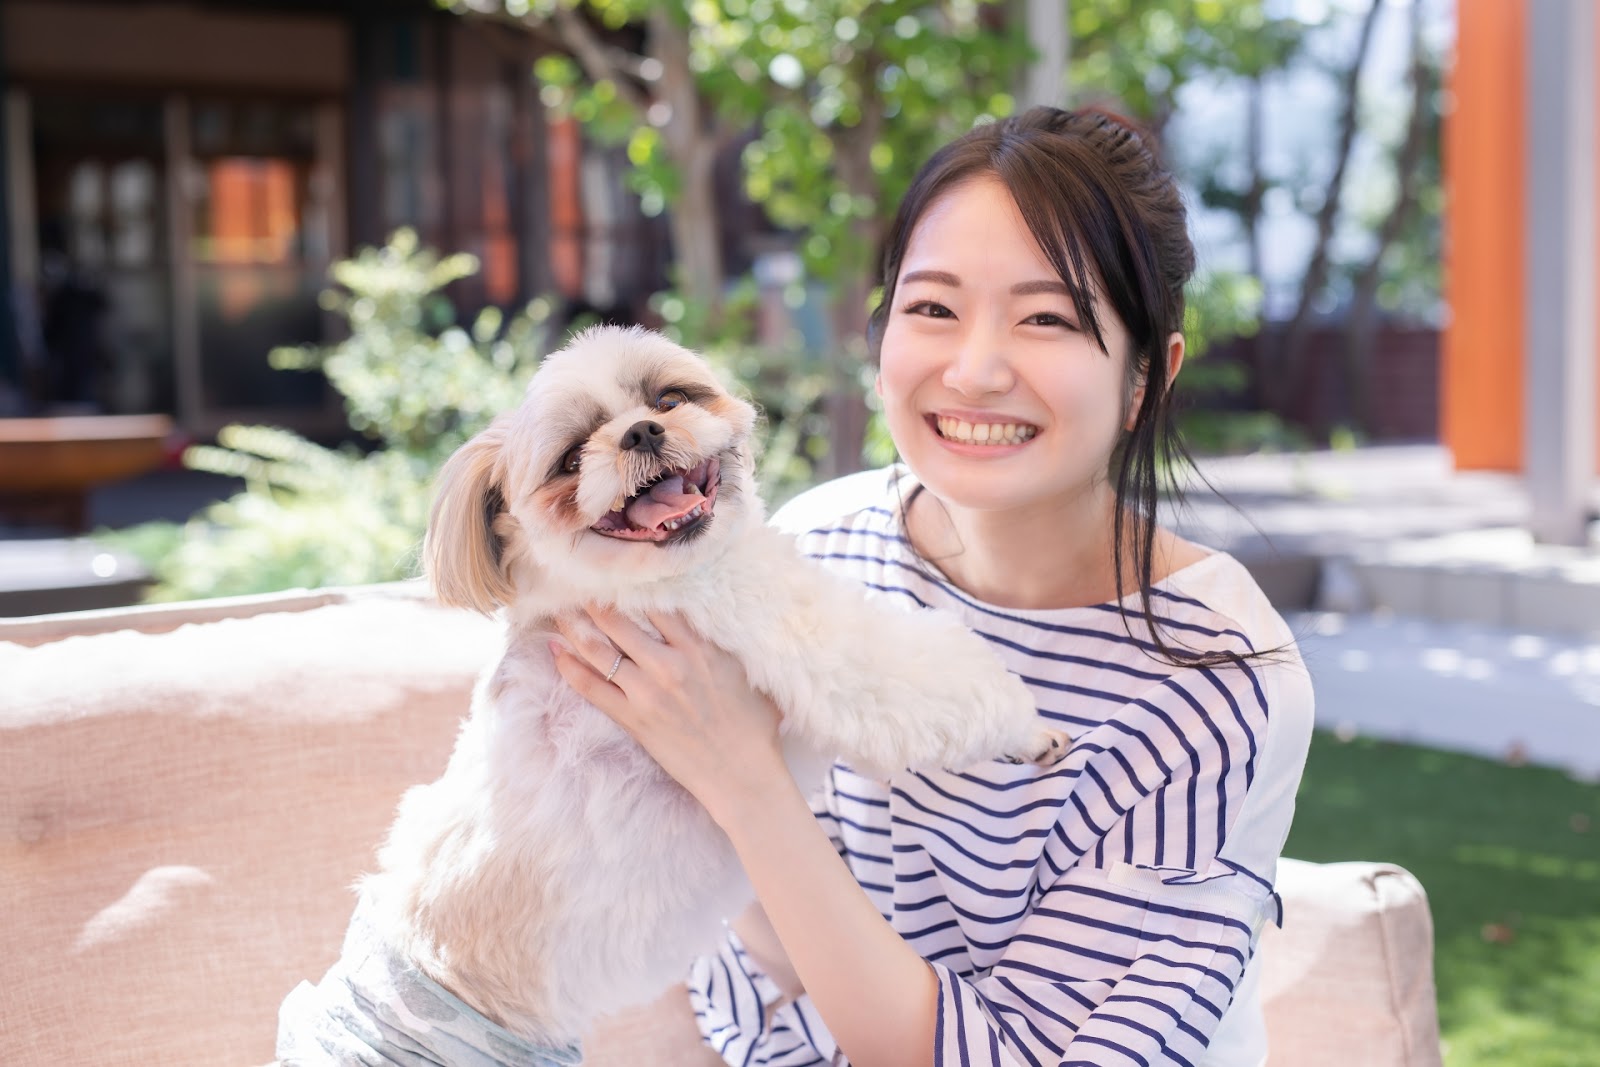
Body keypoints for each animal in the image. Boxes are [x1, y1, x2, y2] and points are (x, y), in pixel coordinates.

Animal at [281, 327, 1068, 1067]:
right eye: (571, 459)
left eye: (668, 399)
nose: (641, 433)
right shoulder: (822, 652)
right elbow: (932, 679)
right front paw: (1029, 727)